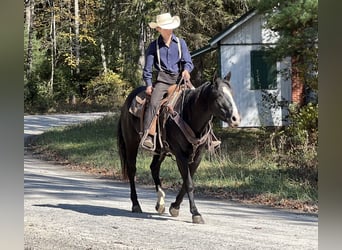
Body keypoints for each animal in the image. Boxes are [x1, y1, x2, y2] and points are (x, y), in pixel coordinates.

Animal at [117, 72, 240, 223]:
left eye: (231, 93)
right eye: (219, 95)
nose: (235, 119)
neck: (189, 114)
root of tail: (126, 103)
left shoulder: (198, 156)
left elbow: (187, 182)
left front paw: (174, 207)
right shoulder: (180, 155)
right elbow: (189, 184)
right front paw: (195, 213)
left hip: (160, 150)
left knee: (154, 168)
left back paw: (160, 203)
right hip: (131, 144)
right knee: (132, 170)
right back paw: (136, 204)